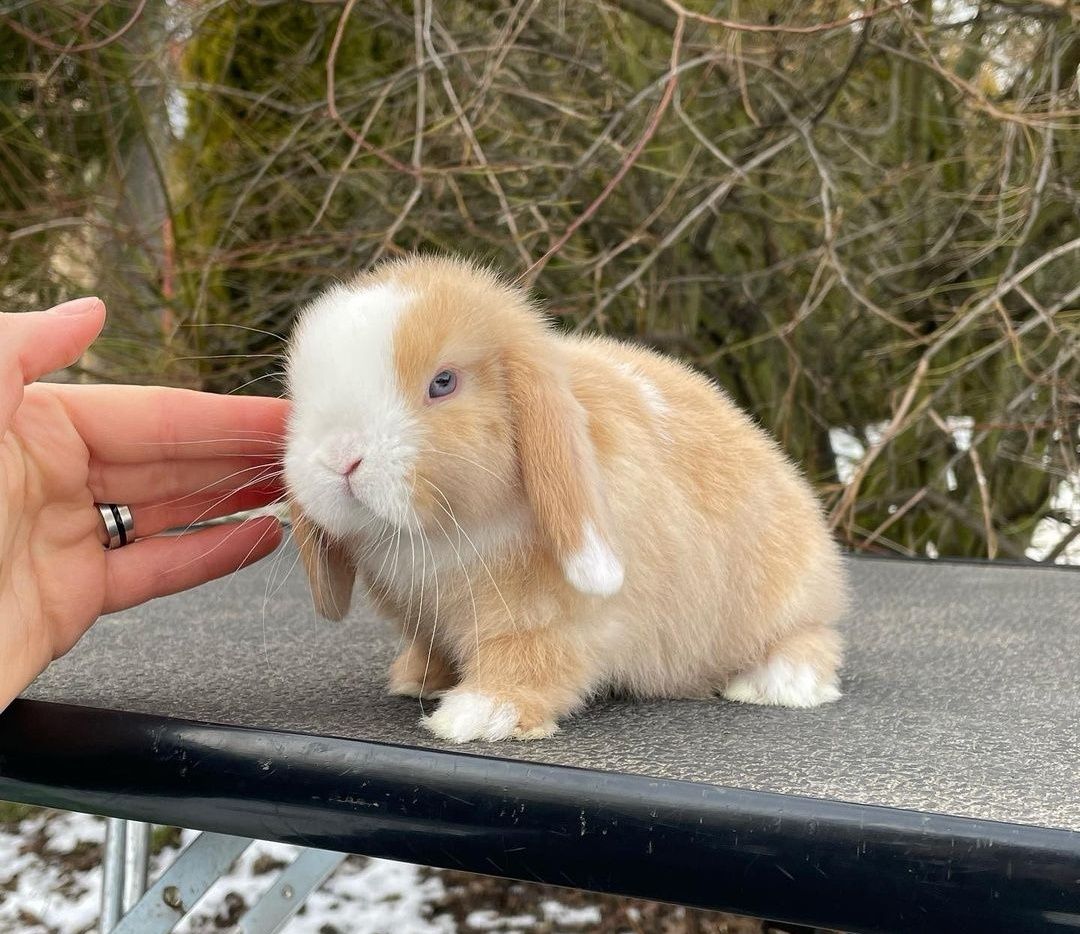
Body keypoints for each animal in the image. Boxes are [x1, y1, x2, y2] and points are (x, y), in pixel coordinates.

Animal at [282, 251, 846, 738]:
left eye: (443, 382)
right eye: (301, 394)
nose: (340, 458)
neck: (446, 532)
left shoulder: (548, 622)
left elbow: (530, 662)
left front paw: (477, 716)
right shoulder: (425, 617)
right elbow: (436, 647)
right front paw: (418, 680)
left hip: (788, 602)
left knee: (813, 639)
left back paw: (774, 684)